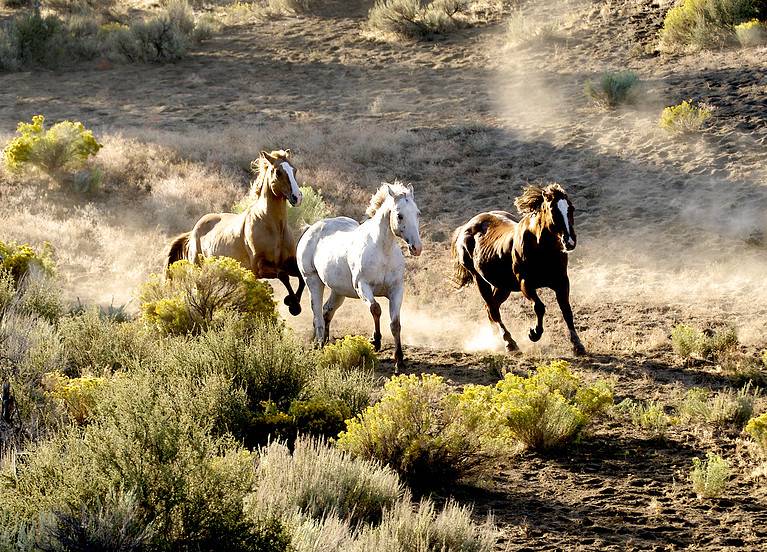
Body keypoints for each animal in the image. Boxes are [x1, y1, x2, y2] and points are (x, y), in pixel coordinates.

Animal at [164, 149, 305, 315]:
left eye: (294, 170)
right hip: (199, 270)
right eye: (278, 172)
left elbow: (301, 277)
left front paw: (294, 303)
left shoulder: (288, 262)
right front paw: (293, 304)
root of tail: (193, 232)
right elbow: (283, 275)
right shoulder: (260, 267)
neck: (274, 227)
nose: (297, 197)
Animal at [296, 182, 422, 371]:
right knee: (317, 312)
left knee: (327, 310)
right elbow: (375, 308)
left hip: (338, 291)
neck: (383, 251)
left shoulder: (396, 290)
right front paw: (375, 341)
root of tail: (311, 228)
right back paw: (319, 343)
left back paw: (325, 342)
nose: (417, 248)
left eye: (417, 213)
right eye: (399, 215)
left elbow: (395, 324)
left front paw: (399, 361)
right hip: (313, 280)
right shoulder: (362, 286)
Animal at [451, 183, 585, 355]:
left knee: (491, 308)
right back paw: (509, 343)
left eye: (571, 208)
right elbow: (539, 307)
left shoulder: (561, 281)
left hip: (503, 286)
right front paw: (534, 333)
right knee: (493, 310)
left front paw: (577, 345)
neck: (542, 248)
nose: (569, 241)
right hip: (480, 279)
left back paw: (497, 339)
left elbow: (566, 310)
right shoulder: (525, 283)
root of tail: (466, 227)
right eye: (553, 210)